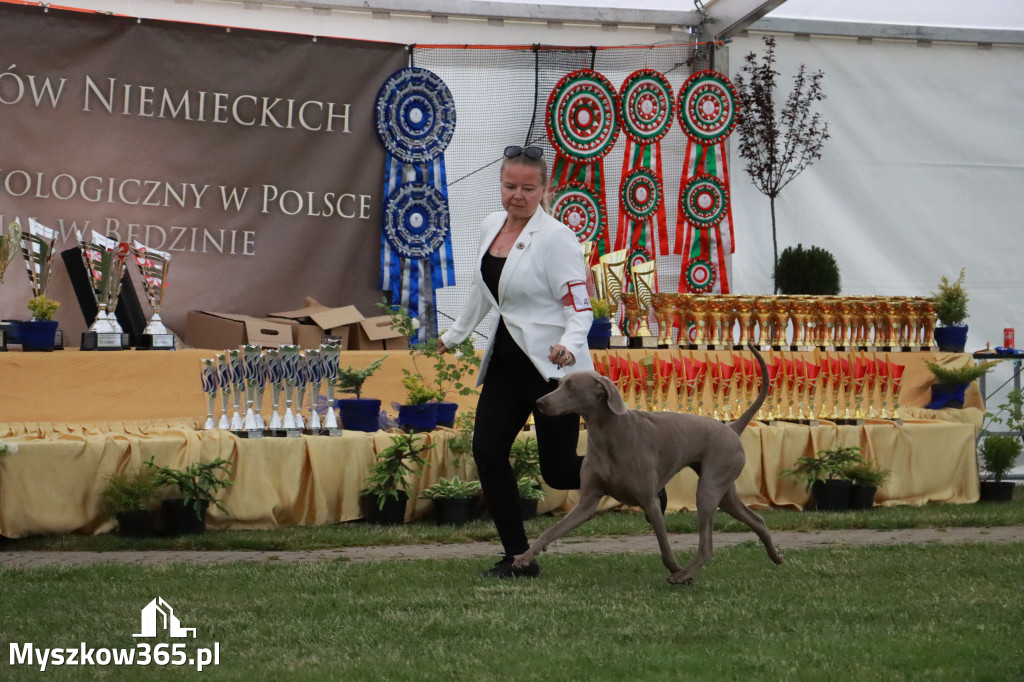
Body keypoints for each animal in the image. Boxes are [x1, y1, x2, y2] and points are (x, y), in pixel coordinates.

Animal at [512, 342, 782, 581]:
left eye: (570, 387)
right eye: (559, 384)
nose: (539, 403)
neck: (609, 436)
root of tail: (732, 428)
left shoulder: (649, 502)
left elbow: (664, 549)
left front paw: (675, 570)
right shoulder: (587, 502)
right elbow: (551, 531)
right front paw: (524, 558)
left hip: (709, 487)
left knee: (707, 545)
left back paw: (684, 575)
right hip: (724, 490)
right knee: (757, 520)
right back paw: (776, 556)